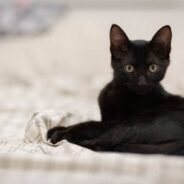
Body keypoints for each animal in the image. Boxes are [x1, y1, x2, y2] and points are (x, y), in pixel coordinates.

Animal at [47, 23, 184, 155]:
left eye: (153, 68)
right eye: (129, 68)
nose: (142, 83)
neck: (117, 91)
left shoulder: (116, 121)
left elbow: (91, 124)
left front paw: (61, 134)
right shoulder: (106, 117)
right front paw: (55, 129)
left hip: (141, 121)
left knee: (103, 143)